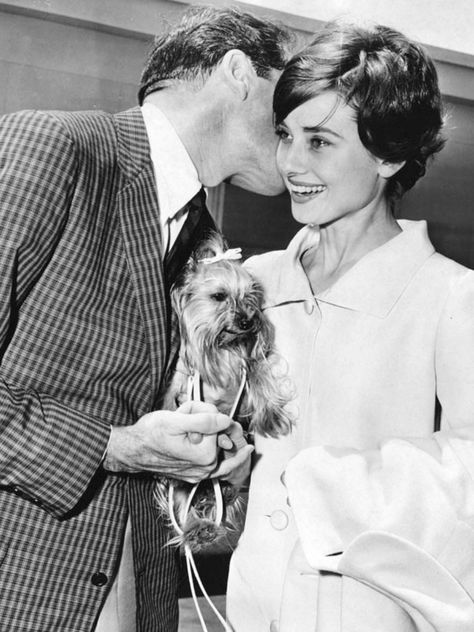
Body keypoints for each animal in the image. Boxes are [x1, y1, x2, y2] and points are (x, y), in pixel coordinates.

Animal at [155, 232, 292, 552]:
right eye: (219, 296)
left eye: (250, 296)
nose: (247, 322)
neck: (221, 347)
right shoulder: (182, 380)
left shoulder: (246, 363)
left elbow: (259, 373)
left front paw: (272, 416)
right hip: (182, 485)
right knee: (181, 501)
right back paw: (197, 527)